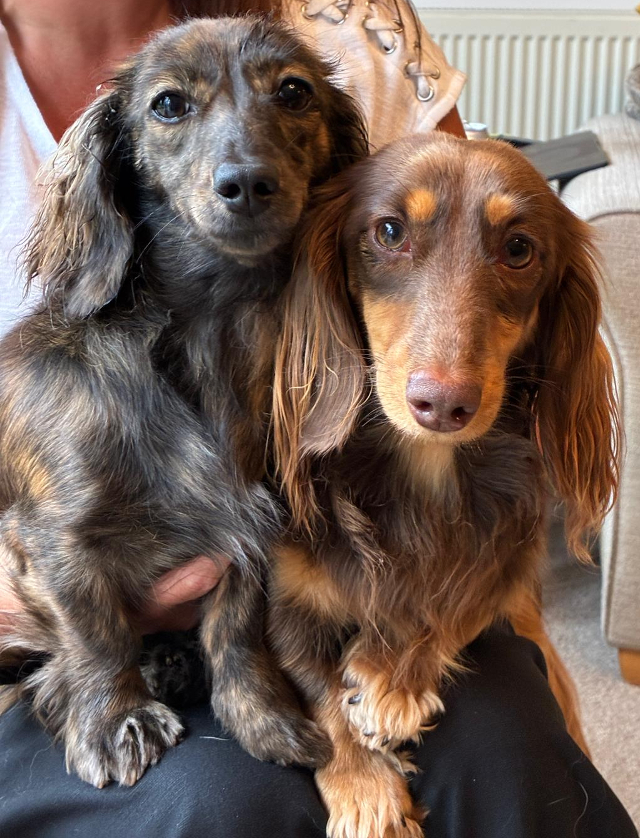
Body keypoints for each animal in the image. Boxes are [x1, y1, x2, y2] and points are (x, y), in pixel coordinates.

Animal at [0, 15, 367, 787]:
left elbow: (238, 630)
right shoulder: (52, 540)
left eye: (295, 92)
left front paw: (263, 716)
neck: (204, 341)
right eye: (168, 105)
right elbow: (95, 632)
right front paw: (115, 720)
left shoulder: (249, 527)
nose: (247, 183)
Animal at [270, 132, 620, 837]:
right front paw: (366, 790)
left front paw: (392, 677)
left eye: (519, 248)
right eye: (389, 231)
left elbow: (460, 603)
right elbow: (315, 689)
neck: (427, 467)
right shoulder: (283, 596)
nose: (441, 404)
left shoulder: (511, 567)